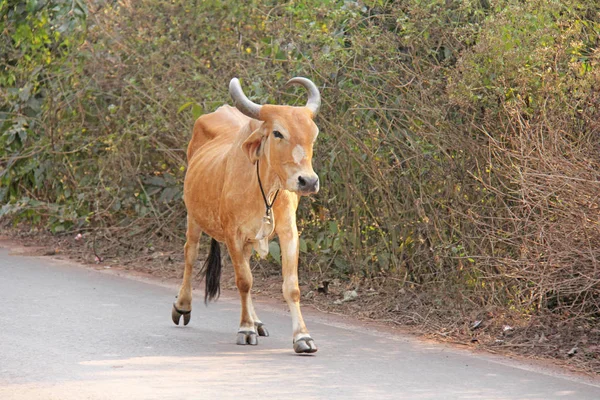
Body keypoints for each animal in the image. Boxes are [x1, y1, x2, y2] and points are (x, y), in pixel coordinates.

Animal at [171, 76, 324, 354]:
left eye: (313, 134)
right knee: (190, 253)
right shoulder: (233, 234)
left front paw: (302, 337)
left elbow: (291, 287)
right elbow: (244, 281)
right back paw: (183, 305)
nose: (308, 181)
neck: (263, 190)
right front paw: (245, 329)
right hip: (193, 216)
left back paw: (257, 321)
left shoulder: (289, 232)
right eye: (278, 133)